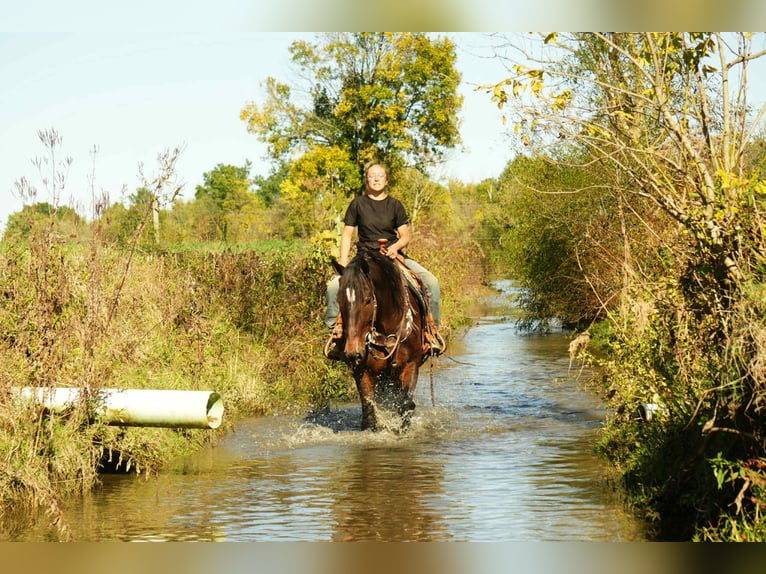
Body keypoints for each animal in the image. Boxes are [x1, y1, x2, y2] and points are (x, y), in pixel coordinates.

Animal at [332, 248, 428, 431]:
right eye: (339, 300)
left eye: (368, 300)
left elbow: (405, 405)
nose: (353, 352)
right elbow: (369, 411)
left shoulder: (411, 365)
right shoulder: (362, 369)